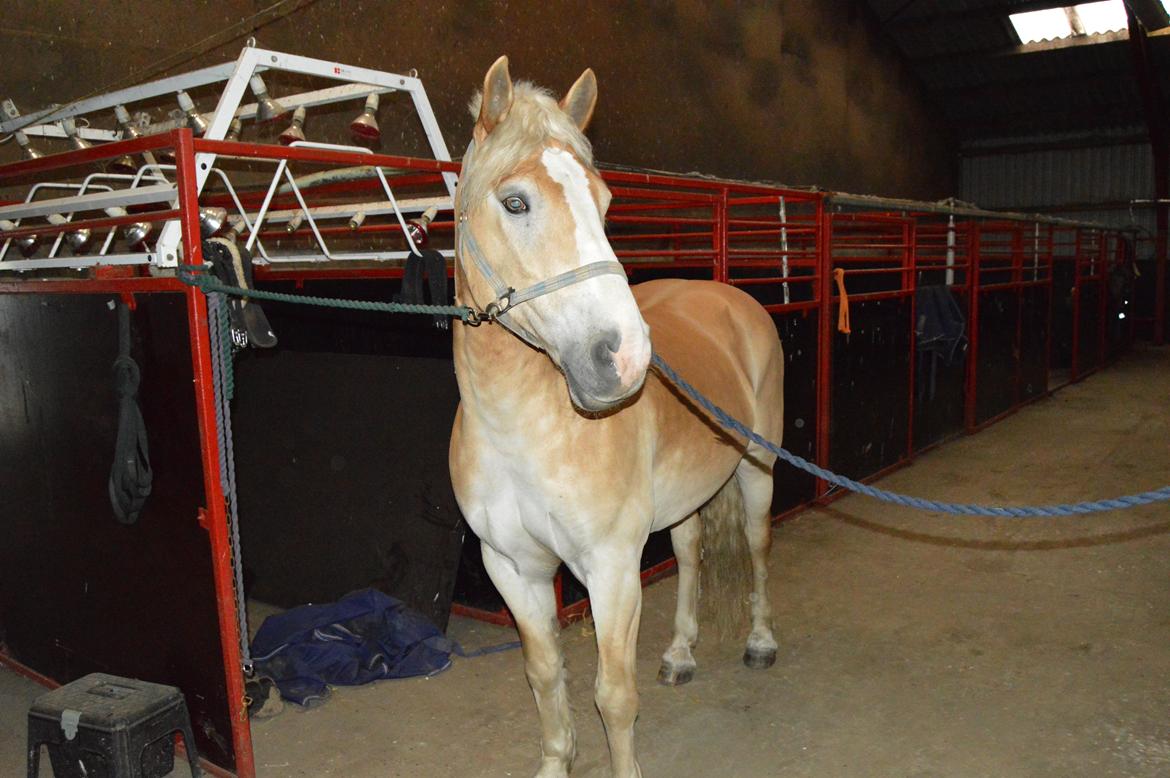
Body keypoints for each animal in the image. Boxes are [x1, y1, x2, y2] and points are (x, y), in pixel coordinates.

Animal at [449, 57, 786, 772]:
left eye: (604, 204)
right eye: (515, 201)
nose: (624, 358)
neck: (520, 430)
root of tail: (729, 297)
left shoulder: (610, 568)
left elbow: (614, 695)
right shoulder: (511, 566)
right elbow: (545, 676)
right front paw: (556, 760)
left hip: (757, 471)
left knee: (757, 547)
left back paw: (761, 642)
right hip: (686, 500)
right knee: (689, 554)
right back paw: (681, 653)